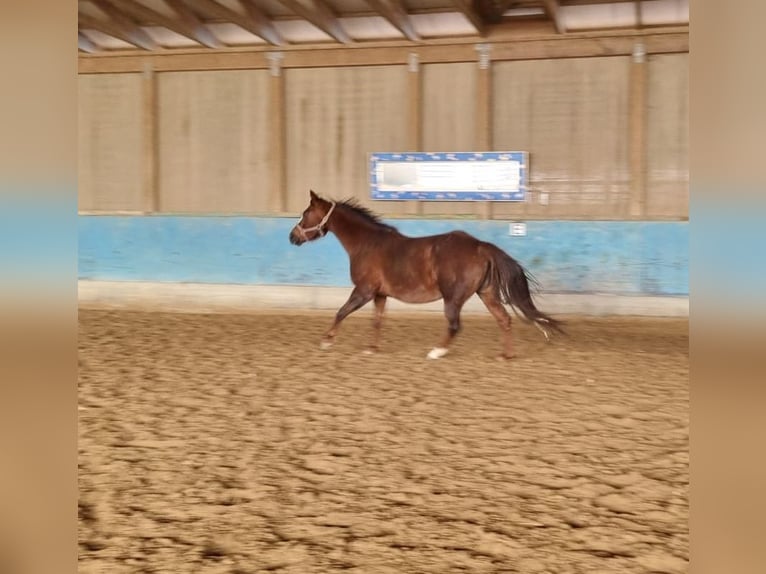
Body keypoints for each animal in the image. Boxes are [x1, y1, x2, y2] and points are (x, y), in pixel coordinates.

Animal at [290, 191, 564, 360]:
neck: (367, 244)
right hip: (486, 293)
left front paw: (326, 341)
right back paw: (505, 355)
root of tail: (480, 246)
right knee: (504, 320)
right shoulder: (379, 295)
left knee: (455, 325)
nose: (293, 237)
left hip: (453, 297)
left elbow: (342, 312)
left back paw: (436, 352)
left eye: (305, 214)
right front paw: (371, 349)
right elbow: (376, 321)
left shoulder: (364, 291)